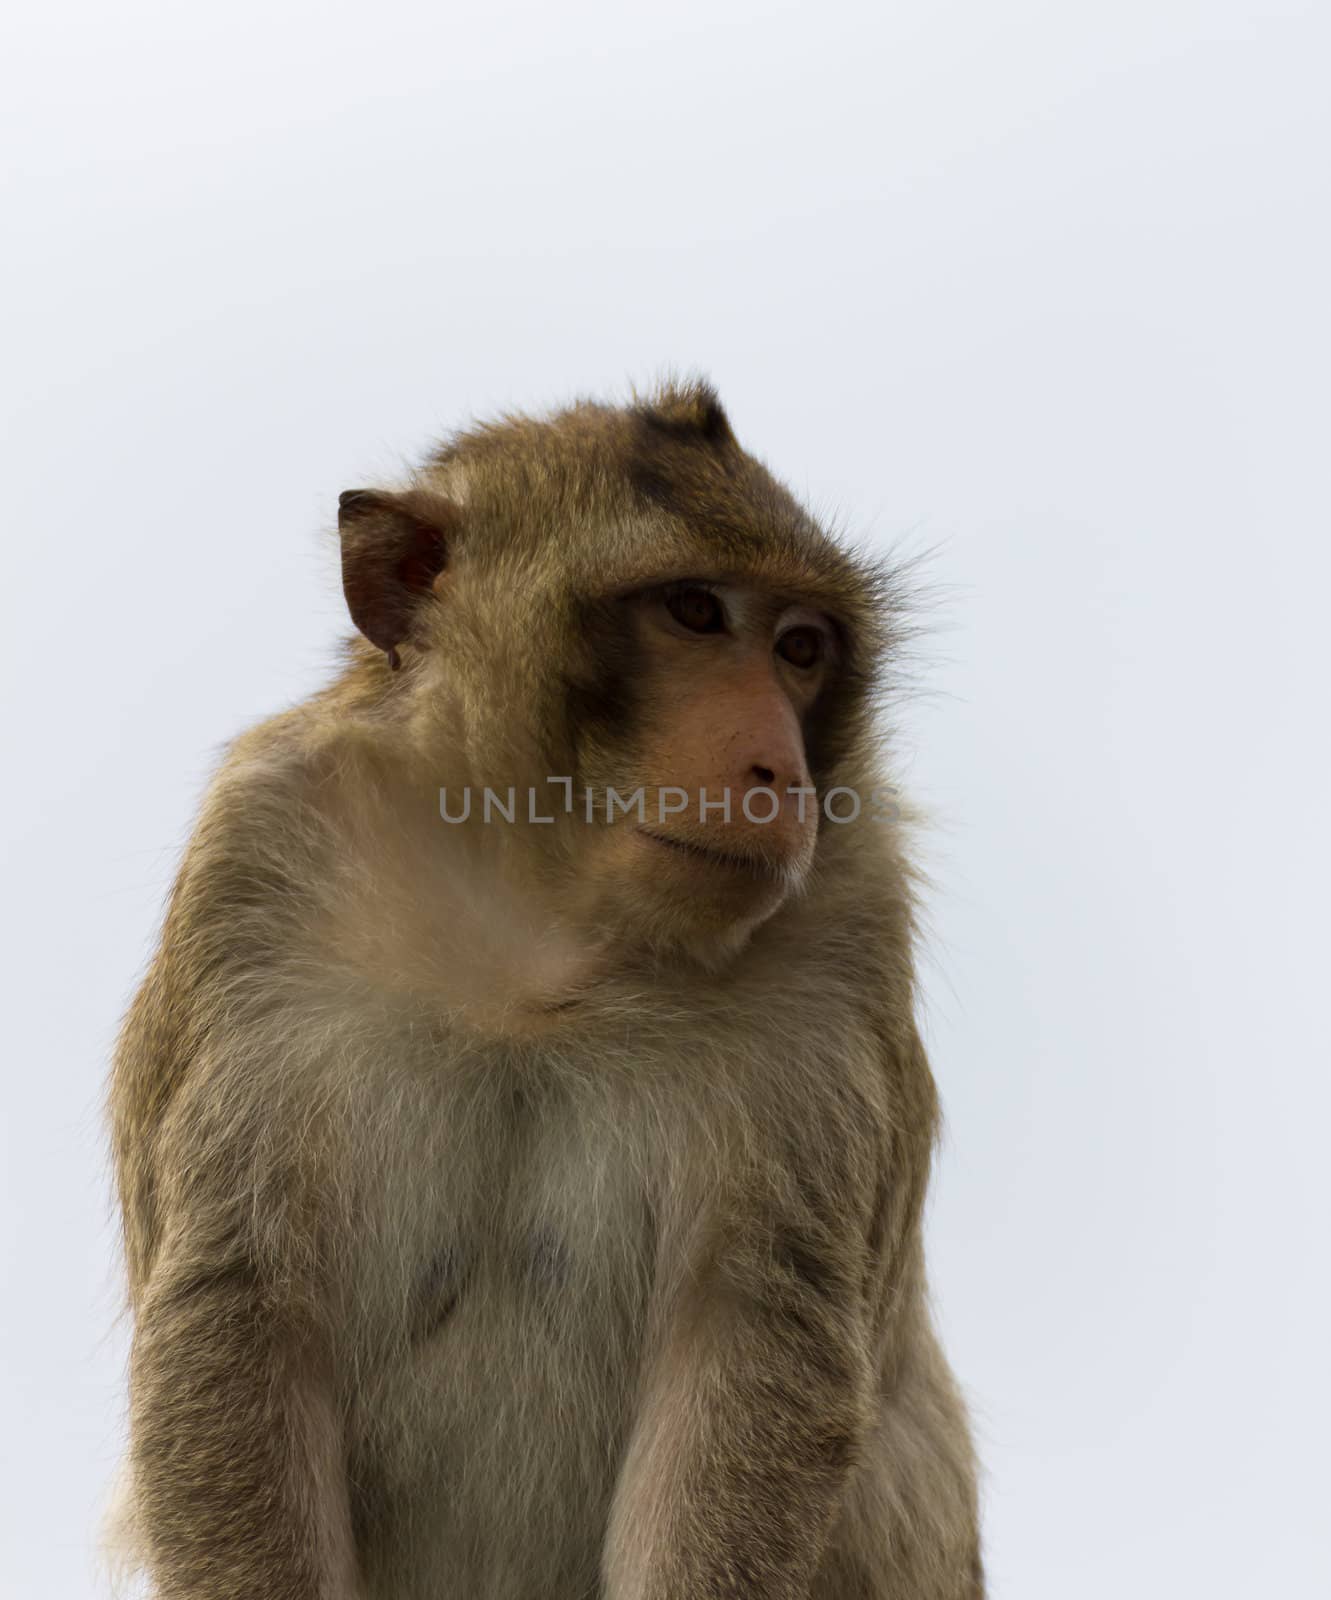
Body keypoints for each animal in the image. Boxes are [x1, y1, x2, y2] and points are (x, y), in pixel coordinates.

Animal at [108, 380, 985, 1593]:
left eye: (800, 647)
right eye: (693, 612)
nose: (779, 772)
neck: (537, 929)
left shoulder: (845, 927)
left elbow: (747, 1336)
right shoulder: (257, 863)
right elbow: (239, 1312)